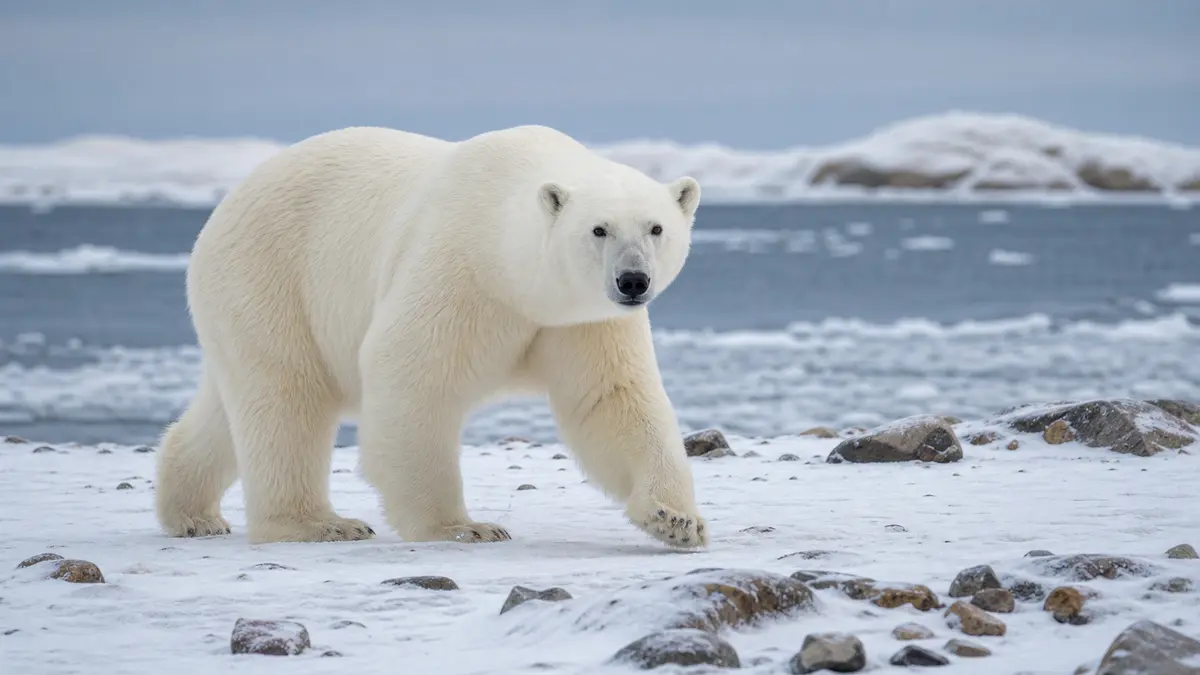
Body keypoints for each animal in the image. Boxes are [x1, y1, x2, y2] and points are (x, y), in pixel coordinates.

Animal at [153, 124, 708, 548]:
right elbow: (411, 372)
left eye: (656, 228)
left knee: (229, 409)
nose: (633, 281)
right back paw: (321, 524)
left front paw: (677, 520)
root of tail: (225, 204)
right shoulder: (460, 267)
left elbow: (613, 399)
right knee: (288, 399)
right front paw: (463, 527)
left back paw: (192, 513)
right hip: (272, 279)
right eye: (598, 229)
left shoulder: (582, 321)